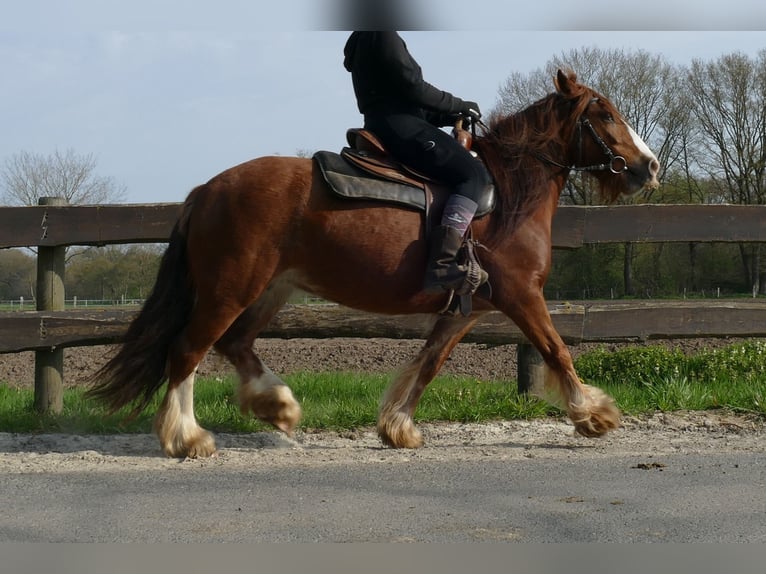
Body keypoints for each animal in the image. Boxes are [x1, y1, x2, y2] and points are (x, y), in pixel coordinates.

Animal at [88, 69, 660, 458]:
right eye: (604, 113)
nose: (649, 166)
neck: (507, 195)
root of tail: (206, 190)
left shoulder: (468, 307)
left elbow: (430, 362)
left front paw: (398, 426)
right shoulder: (521, 295)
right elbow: (557, 350)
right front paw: (594, 415)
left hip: (272, 287)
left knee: (234, 344)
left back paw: (278, 405)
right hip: (230, 288)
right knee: (189, 350)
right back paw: (187, 437)